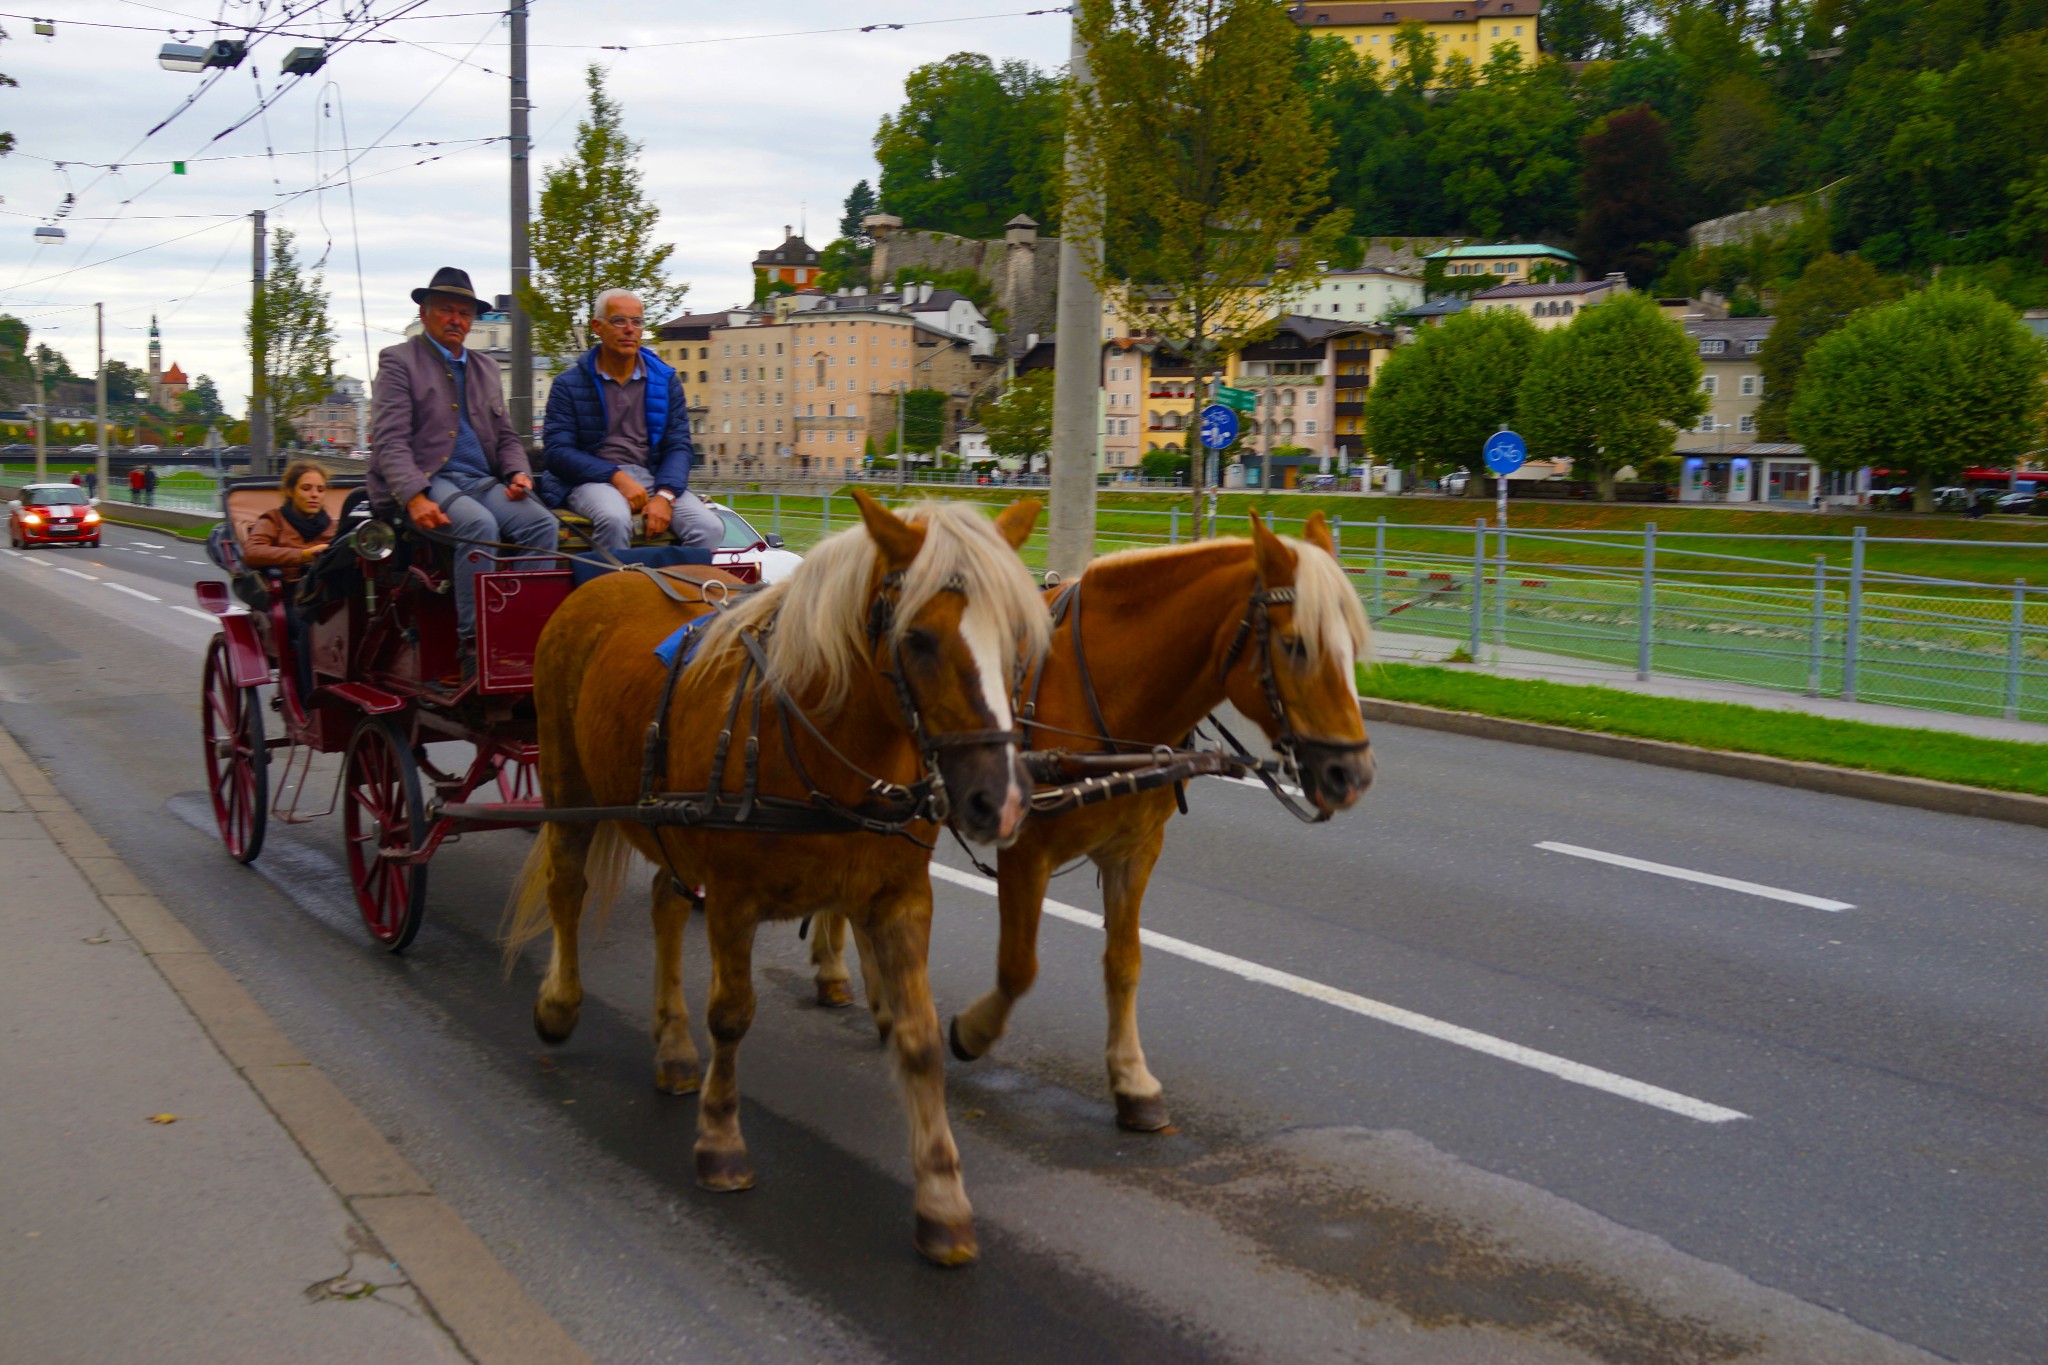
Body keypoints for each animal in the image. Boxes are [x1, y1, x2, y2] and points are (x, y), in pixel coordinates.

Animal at [505, 489, 1048, 1260]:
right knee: (567, 886)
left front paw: (942, 1196)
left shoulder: (900, 900)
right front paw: (720, 1141)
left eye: (1018, 640)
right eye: (918, 638)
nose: (997, 799)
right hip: (569, 784)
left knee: (665, 904)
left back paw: (673, 1044)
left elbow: (916, 1038)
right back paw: (560, 1003)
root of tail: (610, 575)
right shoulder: (734, 897)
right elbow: (732, 1016)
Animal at [815, 511, 1376, 1129]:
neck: (1104, 693)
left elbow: (1124, 962)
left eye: (1353, 646)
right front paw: (971, 1031)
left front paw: (1131, 1079)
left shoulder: (1136, 849)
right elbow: (1018, 967)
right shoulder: (1026, 851)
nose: (1353, 774)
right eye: (1295, 645)